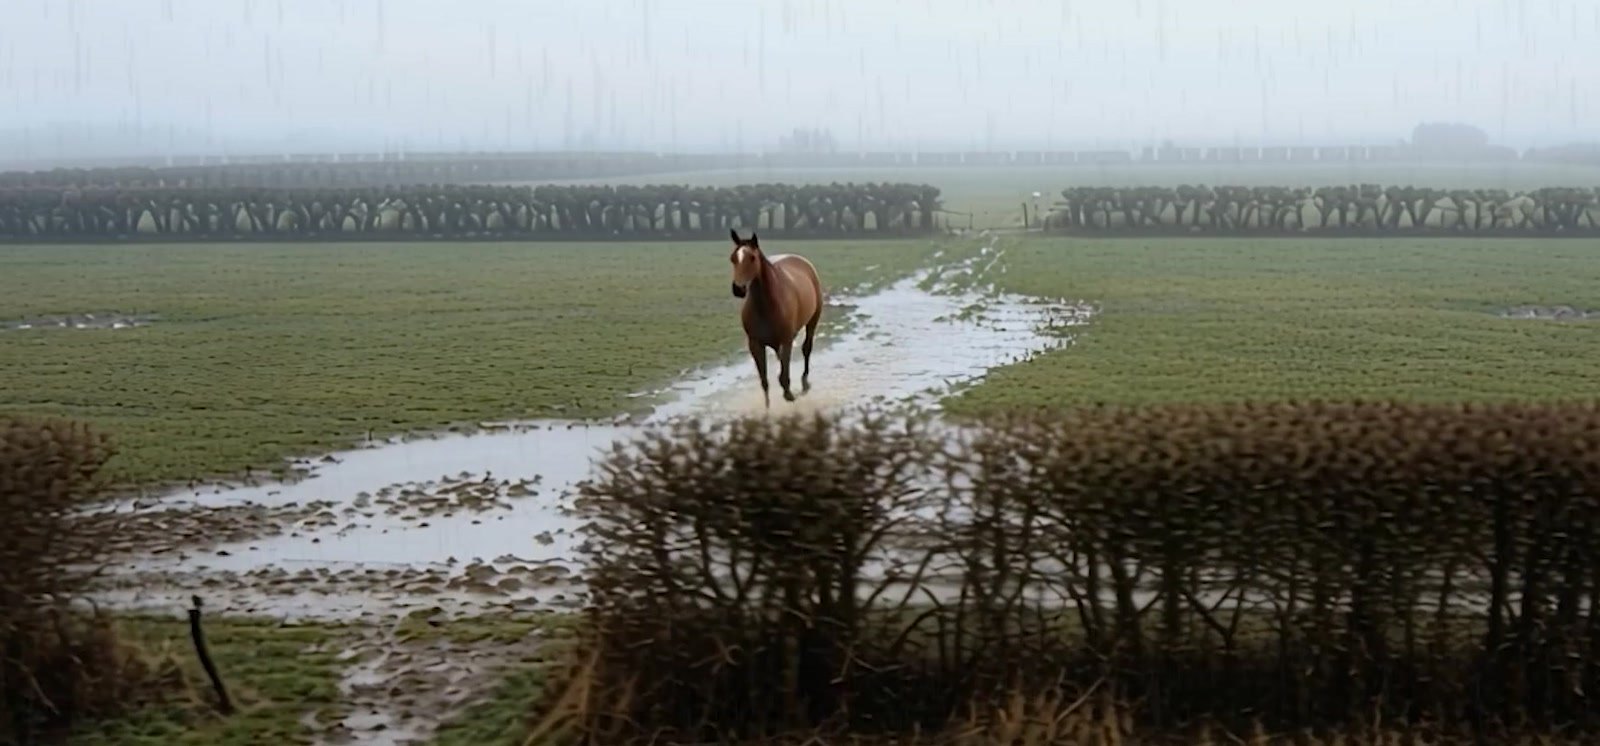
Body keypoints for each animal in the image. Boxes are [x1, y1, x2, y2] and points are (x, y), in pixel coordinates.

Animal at [728, 228, 823, 408]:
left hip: (812, 320)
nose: (738, 288)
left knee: (806, 348)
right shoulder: (755, 344)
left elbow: (784, 379)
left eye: (752, 257)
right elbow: (764, 381)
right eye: (733, 258)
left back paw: (805, 382)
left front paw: (790, 395)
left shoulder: (786, 340)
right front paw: (768, 408)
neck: (767, 306)